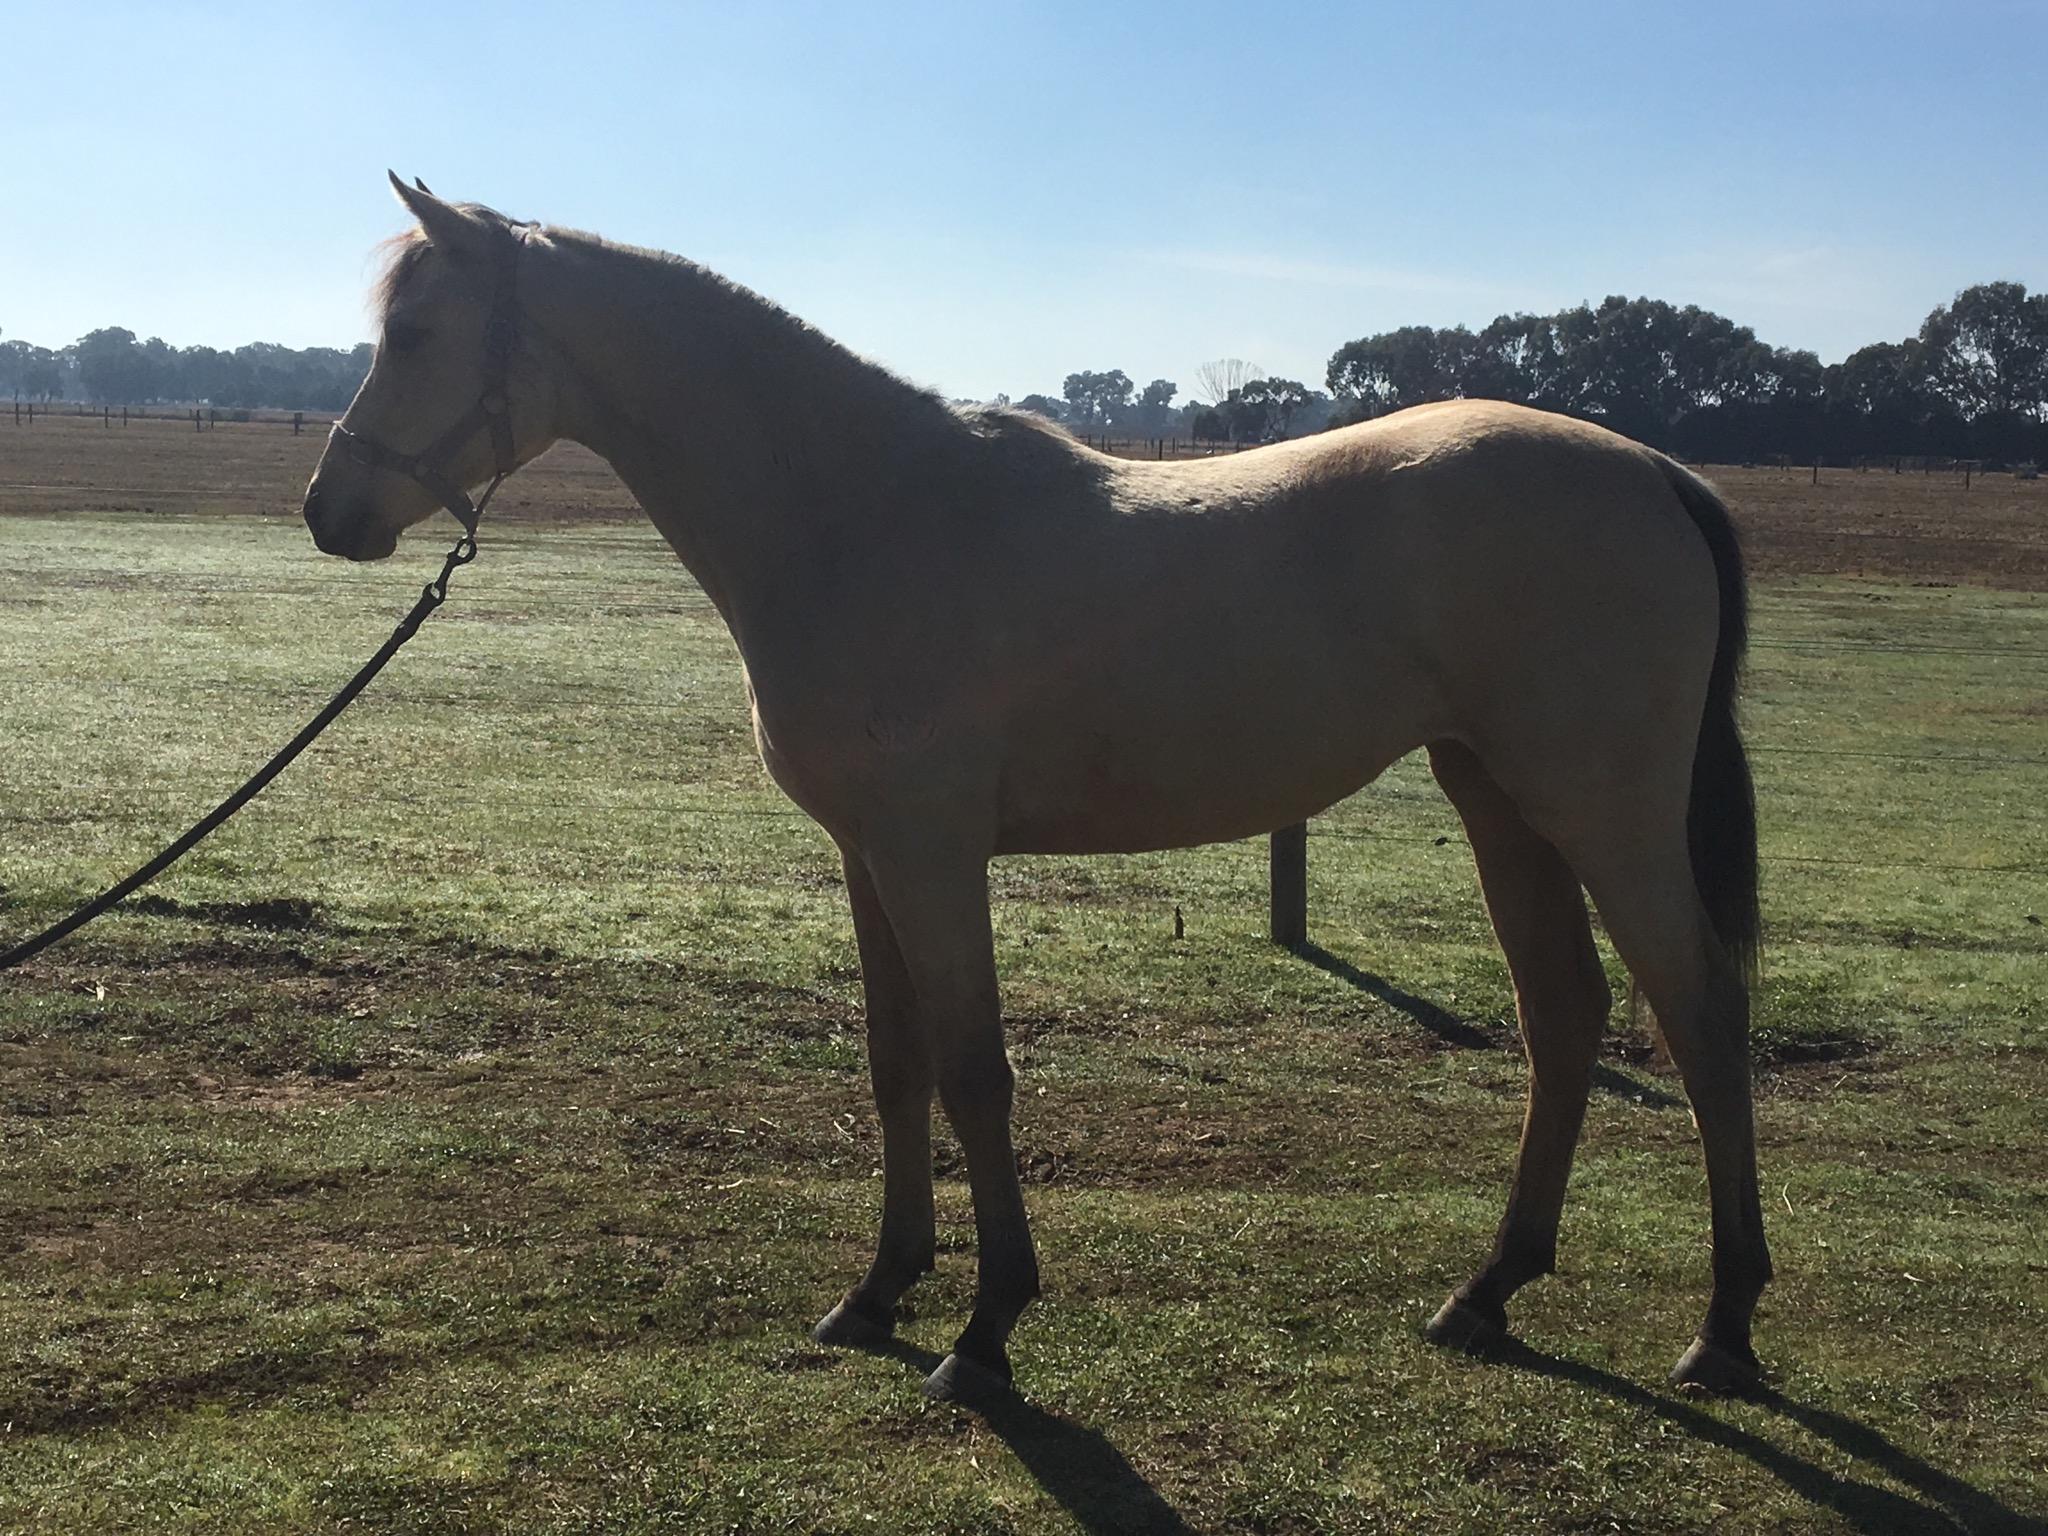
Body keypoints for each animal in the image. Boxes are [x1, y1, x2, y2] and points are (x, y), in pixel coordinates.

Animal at [302, 174, 1771, 1403]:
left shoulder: (932, 852)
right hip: (1501, 800)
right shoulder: (869, 854)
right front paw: (878, 1290)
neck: (861, 516)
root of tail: (1654, 472)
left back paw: (1723, 1327)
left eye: (417, 332)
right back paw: (1489, 1292)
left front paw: (986, 1326)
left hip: (1601, 809)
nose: (329, 511)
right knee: (1565, 1015)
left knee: (1699, 1012)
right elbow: (895, 1063)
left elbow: (973, 1070)